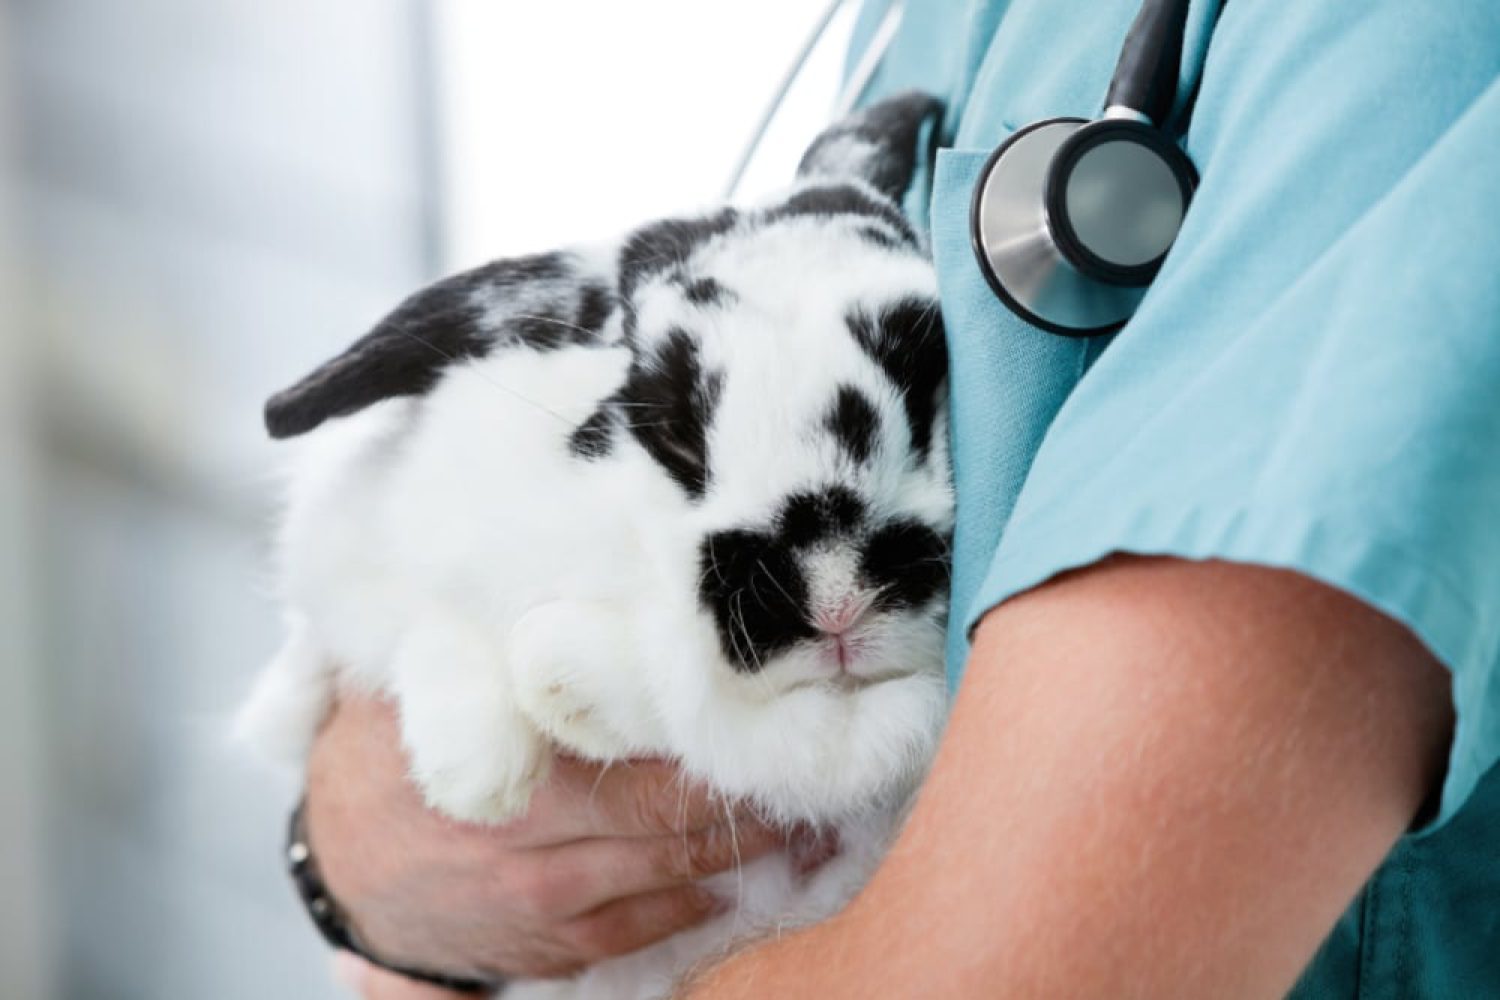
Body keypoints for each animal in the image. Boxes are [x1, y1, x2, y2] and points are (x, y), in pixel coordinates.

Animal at [240, 93, 954, 1000]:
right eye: (671, 428)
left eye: (928, 385)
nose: (835, 595)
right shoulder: (355, 550)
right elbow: (420, 621)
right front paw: (477, 778)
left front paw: (566, 683)